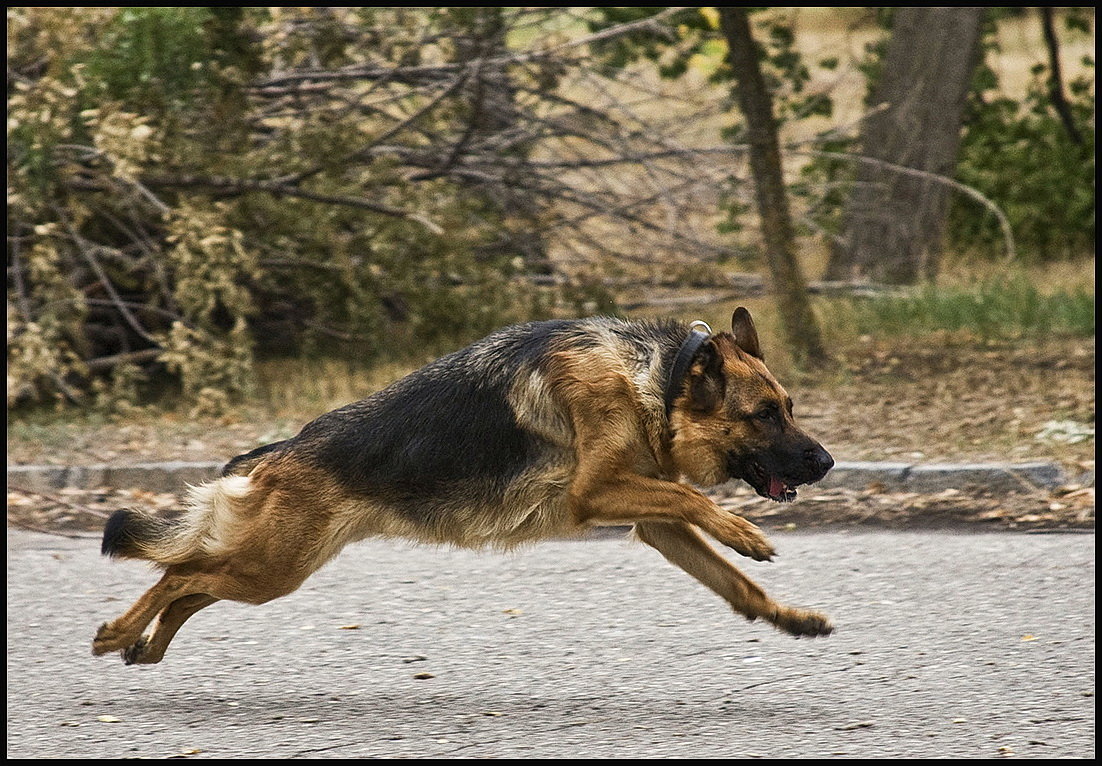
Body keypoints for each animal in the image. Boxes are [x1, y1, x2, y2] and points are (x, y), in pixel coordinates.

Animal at [94, 306, 833, 665]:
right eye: (764, 415)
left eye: (790, 407)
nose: (826, 463)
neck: (658, 378)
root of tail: (278, 451)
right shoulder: (594, 492)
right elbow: (695, 497)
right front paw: (743, 532)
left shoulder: (651, 521)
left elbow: (734, 583)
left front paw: (788, 616)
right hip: (270, 568)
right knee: (180, 575)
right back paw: (119, 631)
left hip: (272, 569)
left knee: (190, 584)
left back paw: (146, 645)